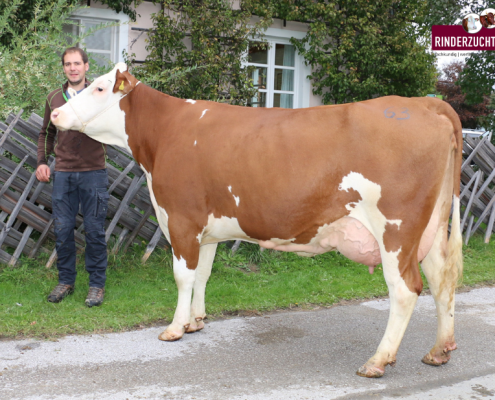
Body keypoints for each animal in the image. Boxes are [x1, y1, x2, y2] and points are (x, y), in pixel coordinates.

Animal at [50, 63, 464, 378]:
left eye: (99, 87)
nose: (55, 113)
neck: (164, 135)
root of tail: (425, 103)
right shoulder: (208, 228)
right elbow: (203, 274)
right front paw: (196, 321)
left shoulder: (181, 219)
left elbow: (183, 276)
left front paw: (174, 328)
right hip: (429, 228)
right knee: (441, 279)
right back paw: (439, 350)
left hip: (396, 229)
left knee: (405, 289)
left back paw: (378, 360)